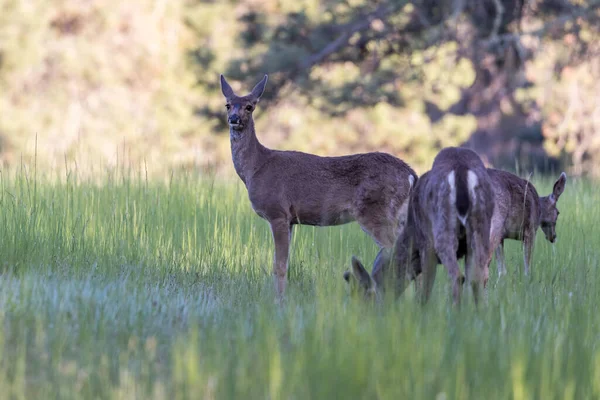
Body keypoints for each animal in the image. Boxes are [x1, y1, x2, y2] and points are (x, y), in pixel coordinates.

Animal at [219, 74, 418, 300]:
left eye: (250, 106)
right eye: (227, 105)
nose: (234, 119)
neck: (256, 167)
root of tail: (411, 173)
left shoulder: (277, 212)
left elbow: (279, 265)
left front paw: (279, 301)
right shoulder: (291, 220)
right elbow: (283, 263)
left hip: (377, 212)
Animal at [344, 146, 494, 304]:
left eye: (366, 296)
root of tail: (461, 170)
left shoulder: (426, 245)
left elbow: (426, 288)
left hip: (442, 230)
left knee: (457, 276)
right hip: (481, 229)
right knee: (478, 278)